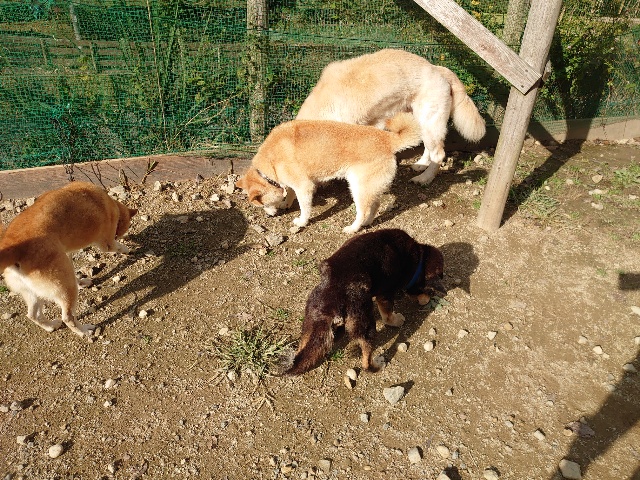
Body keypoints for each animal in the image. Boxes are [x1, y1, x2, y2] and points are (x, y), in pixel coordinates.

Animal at [0, 181, 137, 337]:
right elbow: (118, 247)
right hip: (65, 288)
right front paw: (128, 250)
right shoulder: (107, 244)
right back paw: (84, 331)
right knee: (68, 317)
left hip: (34, 292)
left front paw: (81, 281)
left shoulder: (67, 253)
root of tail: (13, 247)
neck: (111, 203)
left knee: (33, 315)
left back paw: (50, 326)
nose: (125, 237)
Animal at [235, 112, 422, 233]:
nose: (269, 216)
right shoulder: (293, 183)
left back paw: (353, 228)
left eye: (262, 204)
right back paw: (367, 223)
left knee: (362, 211)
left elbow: (304, 208)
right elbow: (290, 193)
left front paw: (301, 221)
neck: (271, 163)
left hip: (357, 187)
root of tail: (388, 139)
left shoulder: (304, 186)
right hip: (369, 187)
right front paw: (285, 203)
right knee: (374, 205)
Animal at [284, 229, 445, 375]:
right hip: (366, 326)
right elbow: (387, 315)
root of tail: (331, 300)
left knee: (304, 349)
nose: (428, 298)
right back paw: (376, 365)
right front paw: (397, 319)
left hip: (310, 323)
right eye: (428, 291)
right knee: (366, 362)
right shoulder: (385, 294)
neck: (418, 258)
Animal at [296, 48, 486, 185]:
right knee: (429, 148)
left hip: (430, 120)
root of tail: (437, 69)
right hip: (421, 121)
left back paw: (424, 179)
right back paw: (421, 165)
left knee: (438, 154)